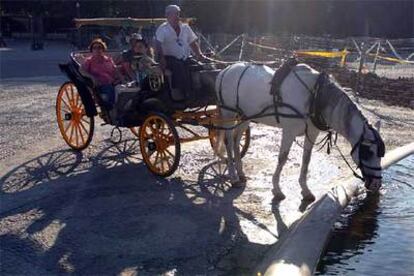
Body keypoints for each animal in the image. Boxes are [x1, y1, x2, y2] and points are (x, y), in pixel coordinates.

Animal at [217, 62, 384, 201]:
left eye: (380, 154)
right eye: (368, 152)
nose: (377, 184)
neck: (314, 96)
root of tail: (226, 69)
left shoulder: (312, 133)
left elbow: (306, 160)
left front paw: (305, 190)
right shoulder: (289, 131)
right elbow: (282, 158)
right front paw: (277, 189)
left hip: (246, 116)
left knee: (236, 140)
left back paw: (240, 173)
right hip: (228, 114)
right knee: (228, 141)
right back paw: (233, 177)